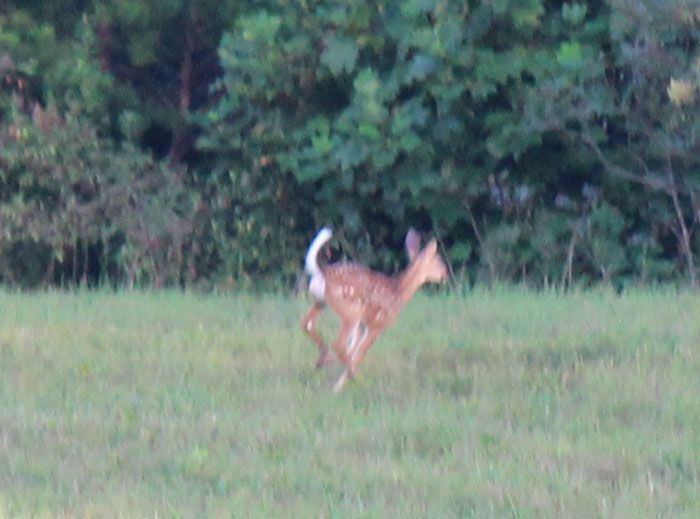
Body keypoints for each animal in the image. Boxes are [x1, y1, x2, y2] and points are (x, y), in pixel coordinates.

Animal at [301, 227, 448, 392]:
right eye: (438, 261)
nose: (445, 275)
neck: (399, 292)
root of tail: (323, 273)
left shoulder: (364, 325)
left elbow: (354, 350)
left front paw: (337, 385)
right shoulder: (378, 324)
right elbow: (360, 352)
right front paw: (341, 385)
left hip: (321, 302)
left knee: (307, 323)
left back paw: (324, 359)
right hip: (351, 311)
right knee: (338, 344)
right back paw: (351, 372)